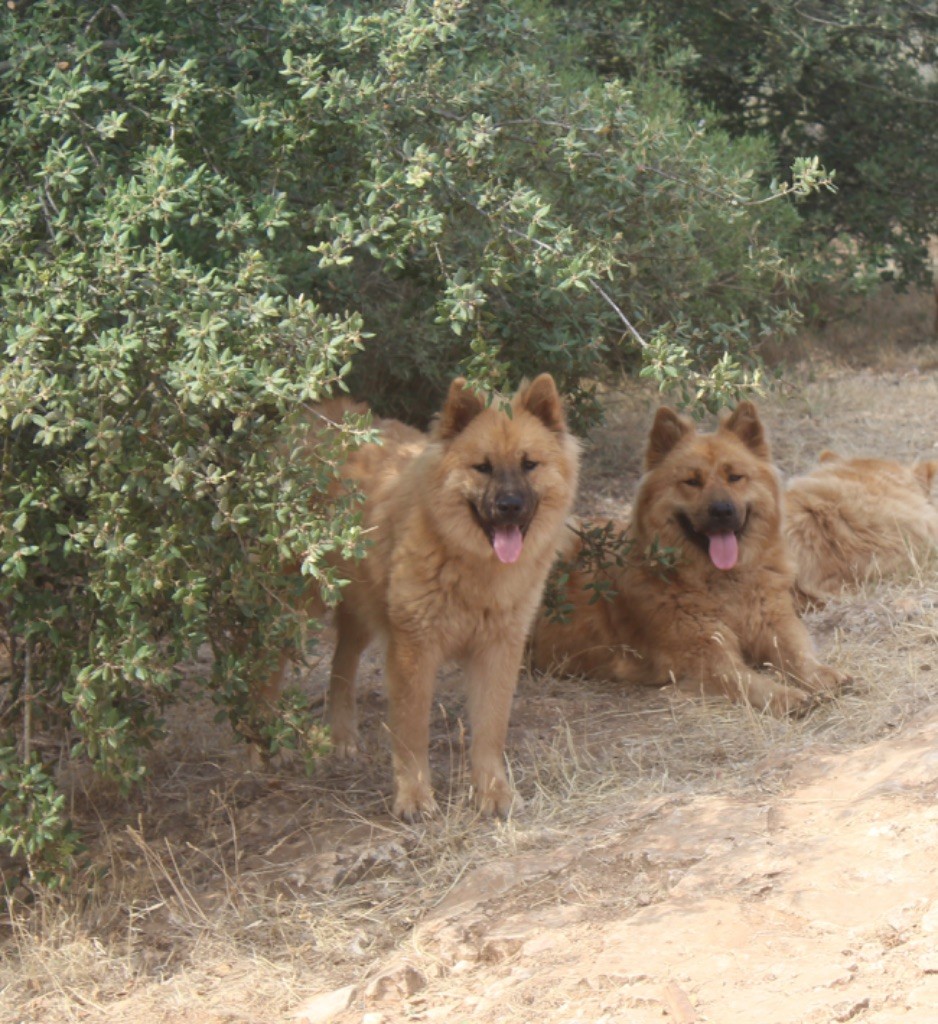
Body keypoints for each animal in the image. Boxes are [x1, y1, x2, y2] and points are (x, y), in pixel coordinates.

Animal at [528, 399, 851, 712]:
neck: (723, 582)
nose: (722, 511)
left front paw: (823, 675)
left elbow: (797, 653)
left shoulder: (774, 623)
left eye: (735, 477)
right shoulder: (705, 656)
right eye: (692, 481)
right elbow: (747, 679)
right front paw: (785, 696)